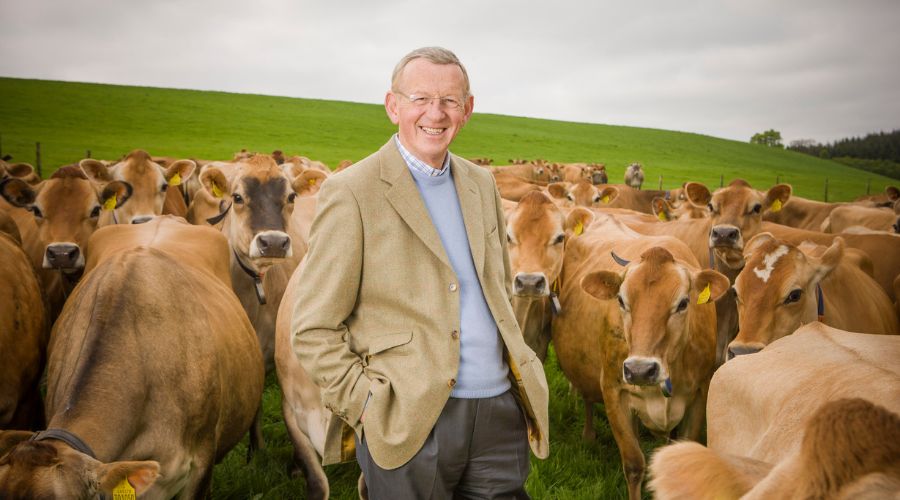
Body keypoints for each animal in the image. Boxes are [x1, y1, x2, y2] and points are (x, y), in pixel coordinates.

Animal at [548, 212, 732, 500]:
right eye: (621, 301)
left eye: (683, 303)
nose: (640, 370)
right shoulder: (613, 390)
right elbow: (634, 463)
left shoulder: (700, 393)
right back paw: (588, 435)